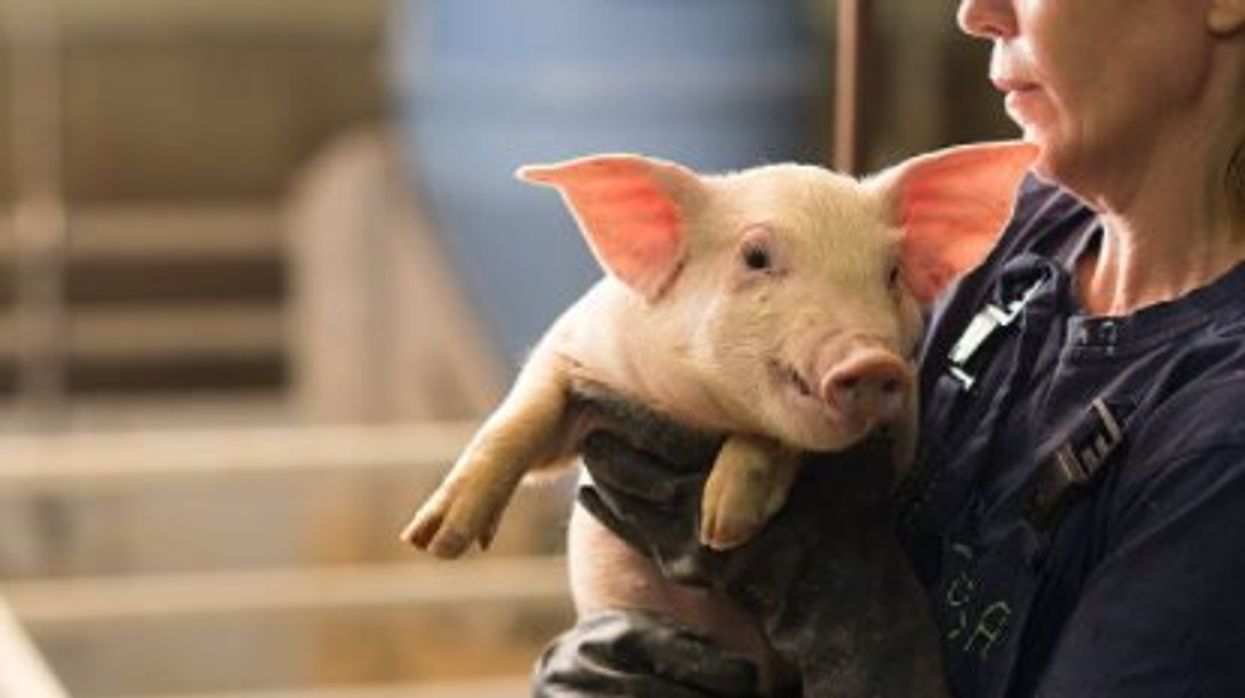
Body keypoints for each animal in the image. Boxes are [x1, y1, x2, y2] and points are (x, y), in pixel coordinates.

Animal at [400, 141, 1036, 561]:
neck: (698, 414)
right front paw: (434, 540)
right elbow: (522, 420)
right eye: (755, 256)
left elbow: (774, 434)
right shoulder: (575, 349)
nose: (871, 360)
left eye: (893, 273)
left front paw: (722, 528)